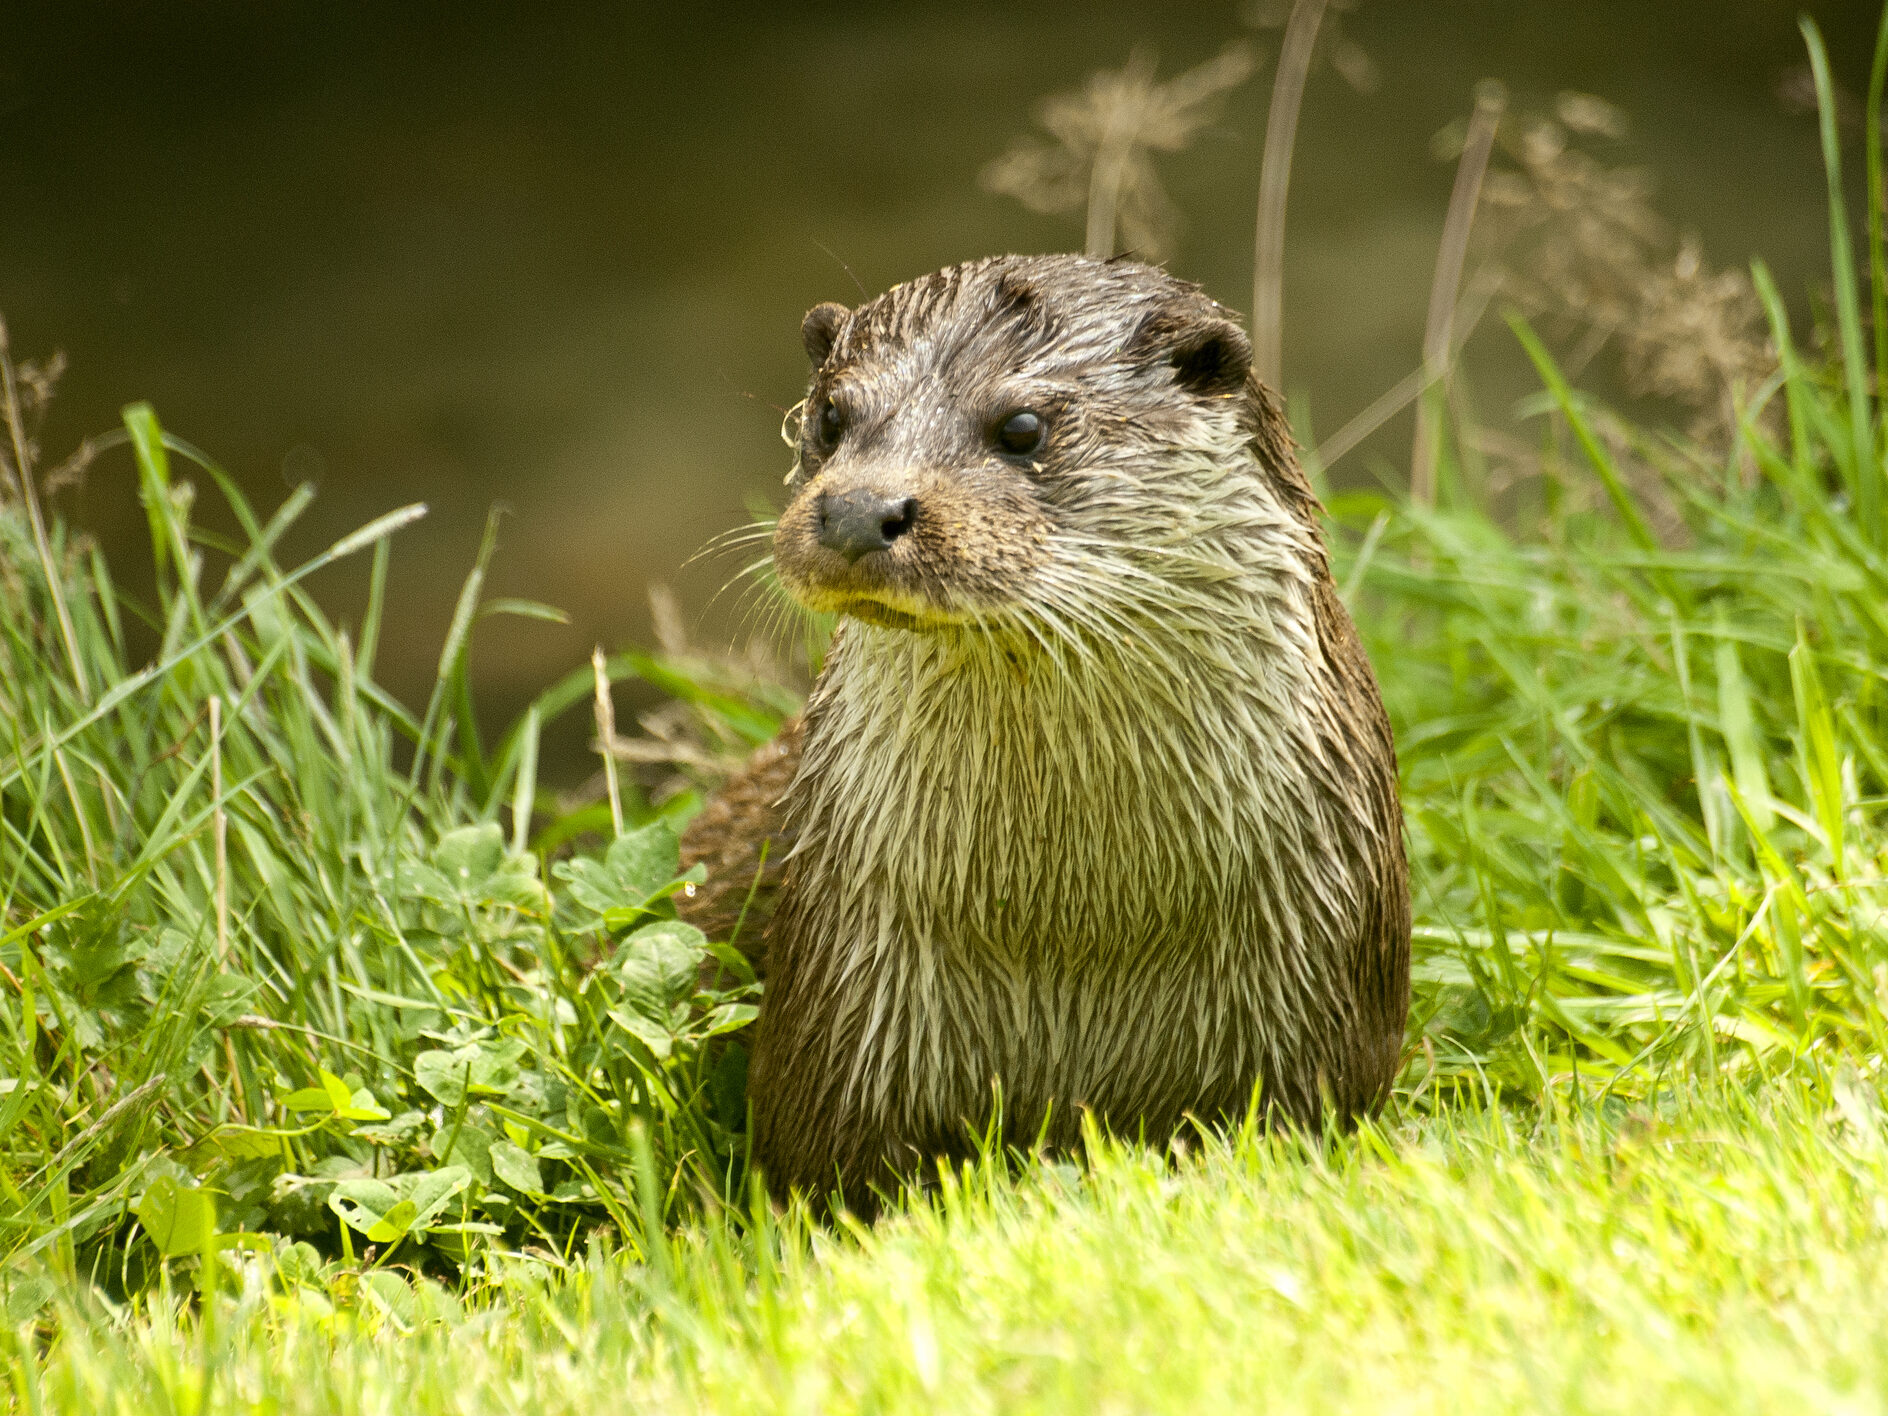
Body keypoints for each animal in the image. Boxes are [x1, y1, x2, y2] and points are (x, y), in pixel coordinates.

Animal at [679, 252, 1404, 1208]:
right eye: (831, 416)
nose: (858, 509)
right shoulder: (841, 1009)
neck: (1072, 931)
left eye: (1021, 427)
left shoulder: (1323, 983)